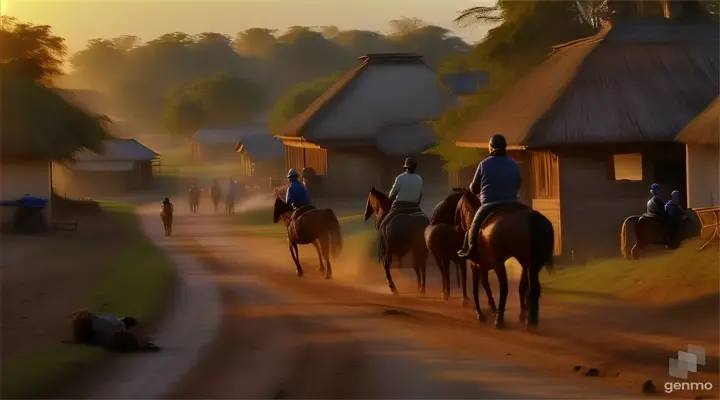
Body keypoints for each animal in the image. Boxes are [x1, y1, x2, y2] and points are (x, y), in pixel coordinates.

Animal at [456, 191, 556, 332]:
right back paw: (530, 320)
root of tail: (533, 219)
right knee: (532, 288)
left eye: (459, 208)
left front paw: (481, 314)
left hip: (501, 264)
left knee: (504, 288)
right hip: (532, 264)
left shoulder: (475, 265)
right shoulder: (485, 266)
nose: (459, 226)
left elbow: (476, 289)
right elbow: (488, 285)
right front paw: (494, 308)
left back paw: (500, 320)